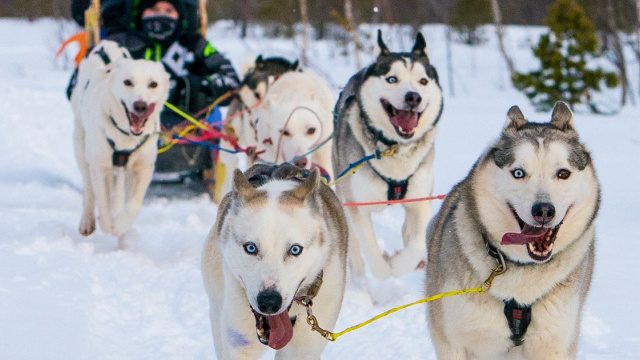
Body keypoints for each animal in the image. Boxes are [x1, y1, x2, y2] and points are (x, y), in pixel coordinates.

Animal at [71, 39, 170, 248]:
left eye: (153, 84)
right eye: (128, 82)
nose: (140, 106)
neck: (125, 136)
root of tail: (107, 45)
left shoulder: (143, 168)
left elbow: (133, 205)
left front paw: (122, 226)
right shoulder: (100, 168)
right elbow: (103, 204)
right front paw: (109, 225)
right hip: (81, 149)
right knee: (89, 190)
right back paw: (88, 221)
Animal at [332, 30, 442, 278]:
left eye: (423, 81)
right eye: (392, 79)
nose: (413, 97)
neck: (395, 148)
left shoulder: (420, 202)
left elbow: (418, 241)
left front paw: (400, 265)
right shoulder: (358, 207)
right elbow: (371, 251)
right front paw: (385, 273)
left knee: (407, 231)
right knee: (354, 246)